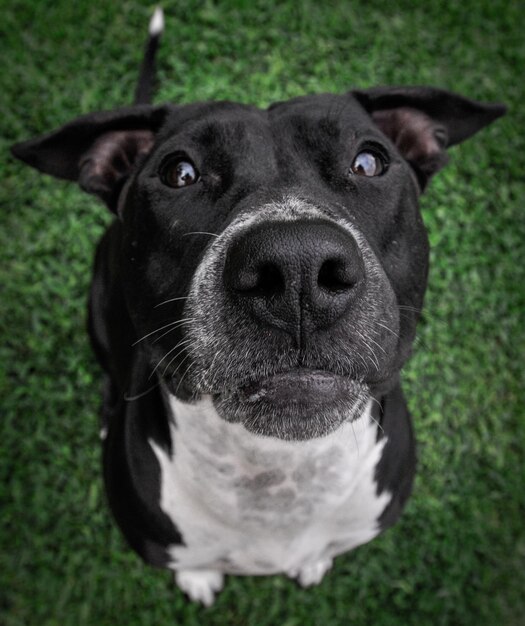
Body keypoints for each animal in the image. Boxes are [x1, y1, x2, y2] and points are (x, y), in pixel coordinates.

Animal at [11, 8, 504, 604]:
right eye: (179, 172)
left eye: (369, 161)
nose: (297, 267)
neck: (278, 469)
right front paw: (198, 577)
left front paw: (314, 561)